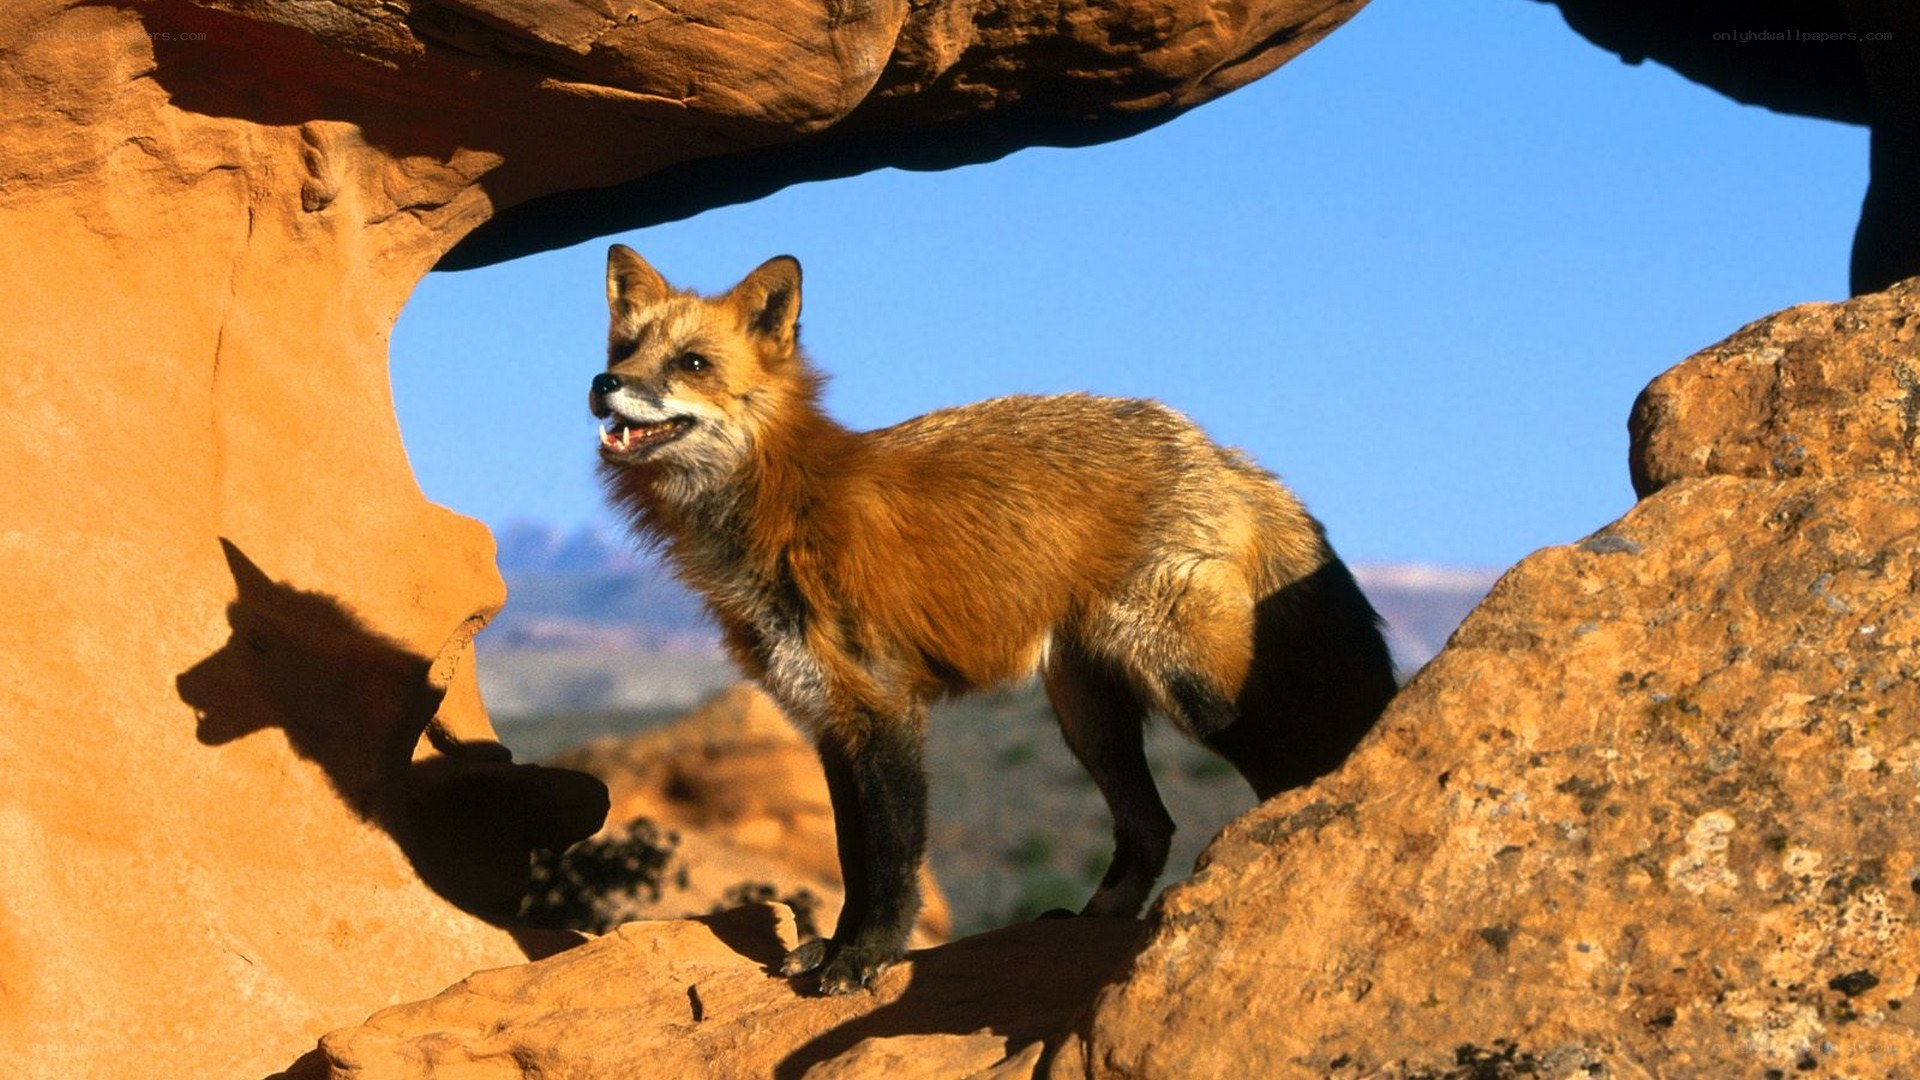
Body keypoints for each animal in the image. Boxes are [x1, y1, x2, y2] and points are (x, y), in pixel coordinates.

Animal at [588, 246, 1398, 994]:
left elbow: (892, 861)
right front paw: (835, 948)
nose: (603, 387)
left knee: (1287, 778)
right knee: (1151, 826)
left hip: (1195, 690)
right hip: (1086, 713)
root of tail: (1214, 449)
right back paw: (1095, 920)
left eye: (692, 362)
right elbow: (852, 859)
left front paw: (868, 957)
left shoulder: (886, 708)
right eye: (622, 351)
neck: (785, 502)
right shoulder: (829, 720)